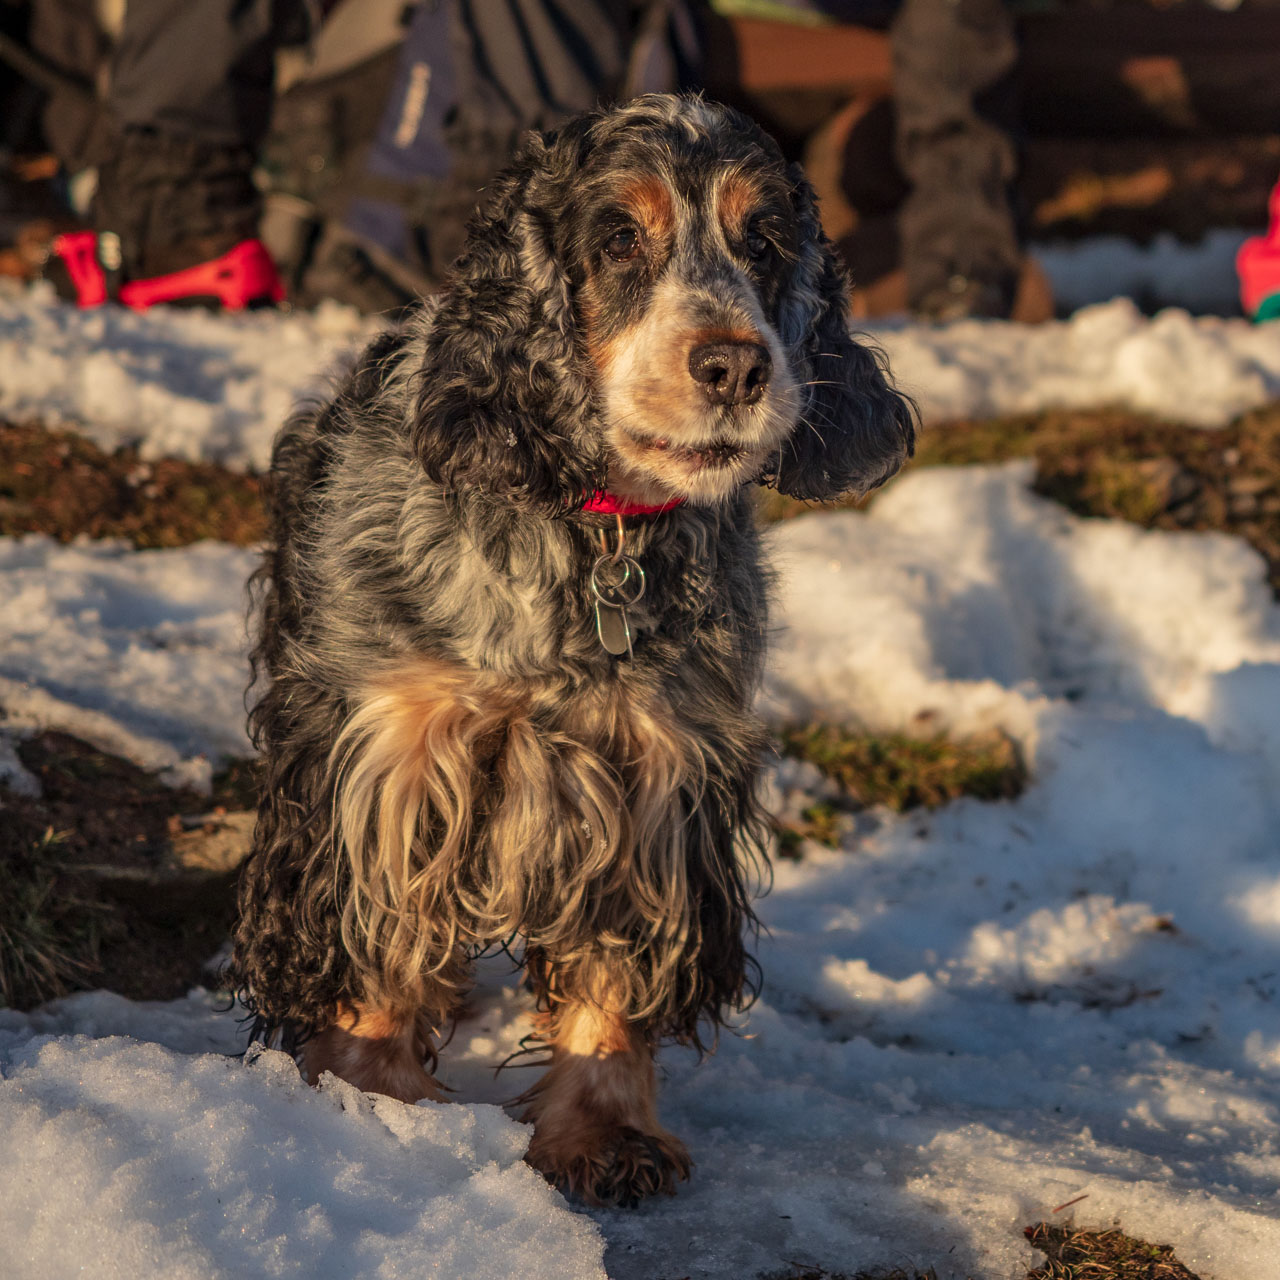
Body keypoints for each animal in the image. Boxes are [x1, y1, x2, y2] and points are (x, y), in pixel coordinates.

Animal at [227, 94, 911, 1203]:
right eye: (618, 238)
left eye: (765, 239)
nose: (734, 365)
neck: (595, 529)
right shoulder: (392, 750)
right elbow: (381, 940)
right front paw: (373, 1106)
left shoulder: (653, 773)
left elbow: (615, 971)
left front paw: (603, 1133)